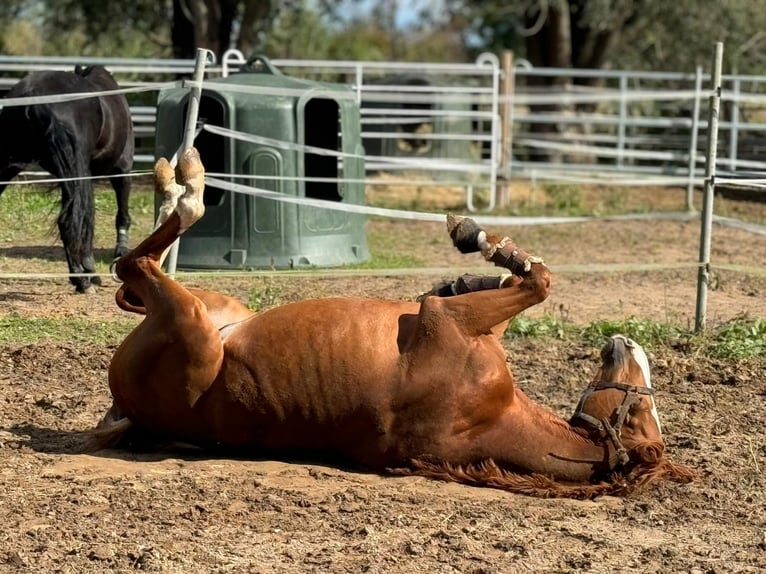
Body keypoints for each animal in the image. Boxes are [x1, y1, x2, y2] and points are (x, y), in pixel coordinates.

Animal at [0, 64, 134, 292]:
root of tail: (34, 96)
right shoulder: (121, 168)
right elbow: (111, 215)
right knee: (72, 219)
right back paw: (82, 278)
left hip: (12, 163)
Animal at [93, 150, 700, 500]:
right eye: (643, 412)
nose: (623, 343)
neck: (489, 418)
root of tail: (127, 407)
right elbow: (524, 282)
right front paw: (477, 260)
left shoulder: (446, 325)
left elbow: (539, 283)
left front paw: (480, 243)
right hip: (215, 308)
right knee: (134, 273)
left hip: (193, 324)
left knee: (136, 265)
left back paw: (183, 183)